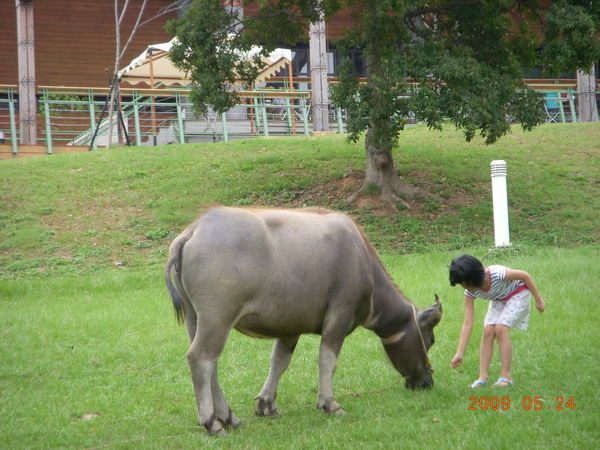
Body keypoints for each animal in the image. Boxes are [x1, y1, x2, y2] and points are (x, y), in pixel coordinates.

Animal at [164, 206, 440, 434]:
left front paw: (266, 405)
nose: (426, 382)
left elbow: (279, 361)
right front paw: (330, 404)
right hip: (217, 315)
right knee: (200, 358)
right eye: (431, 339)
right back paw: (211, 422)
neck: (363, 262)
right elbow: (328, 360)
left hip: (194, 317)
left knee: (211, 365)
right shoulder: (339, 316)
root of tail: (193, 229)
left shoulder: (289, 329)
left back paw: (229, 418)